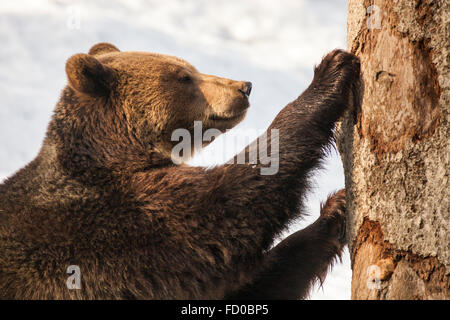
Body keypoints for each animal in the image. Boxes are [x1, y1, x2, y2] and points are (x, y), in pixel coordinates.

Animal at [0, 43, 360, 300]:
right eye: (184, 77)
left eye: (190, 68)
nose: (243, 87)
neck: (119, 153)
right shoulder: (125, 223)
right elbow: (234, 201)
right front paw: (331, 72)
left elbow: (257, 283)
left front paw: (336, 208)